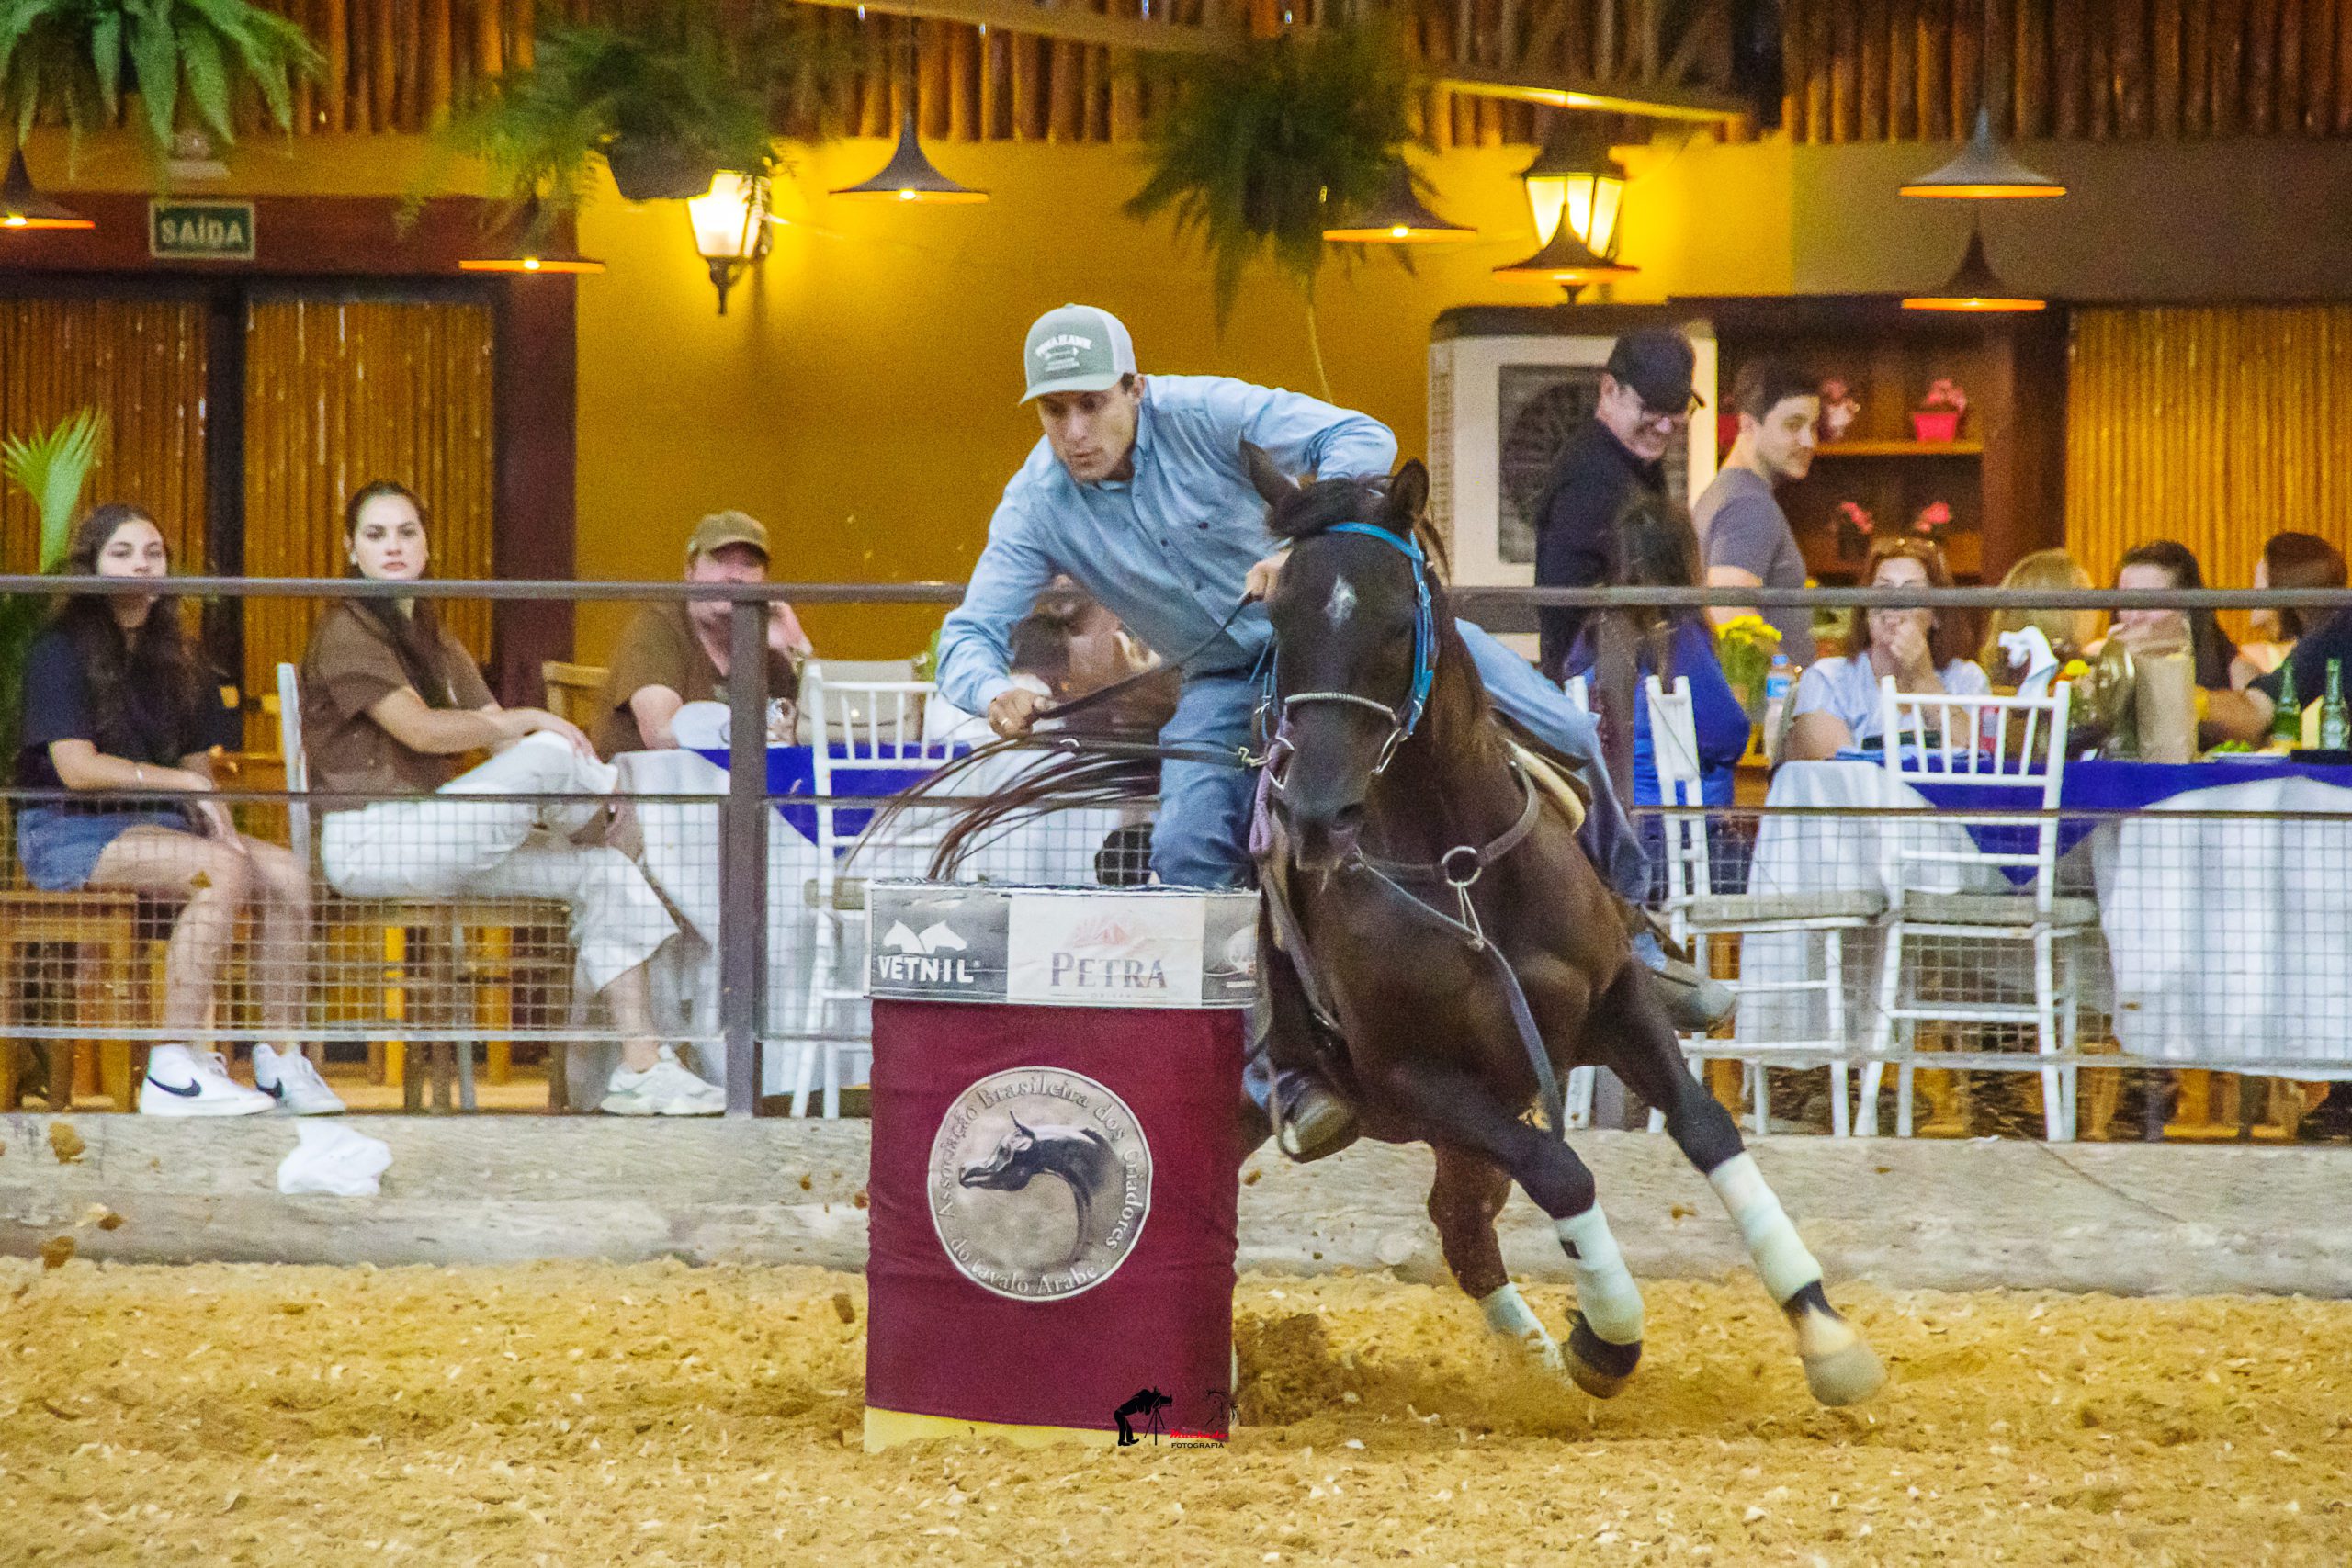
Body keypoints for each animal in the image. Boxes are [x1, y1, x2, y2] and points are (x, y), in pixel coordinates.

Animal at [1245, 443, 1884, 1408]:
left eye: (1397, 622)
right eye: (1279, 619)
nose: (1317, 814)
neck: (1461, 868)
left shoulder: (1613, 1002)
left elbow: (1706, 1125)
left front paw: (1822, 1329)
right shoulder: (1414, 1078)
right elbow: (1560, 1169)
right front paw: (1607, 1335)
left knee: (1461, 1227)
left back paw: (1533, 1359)